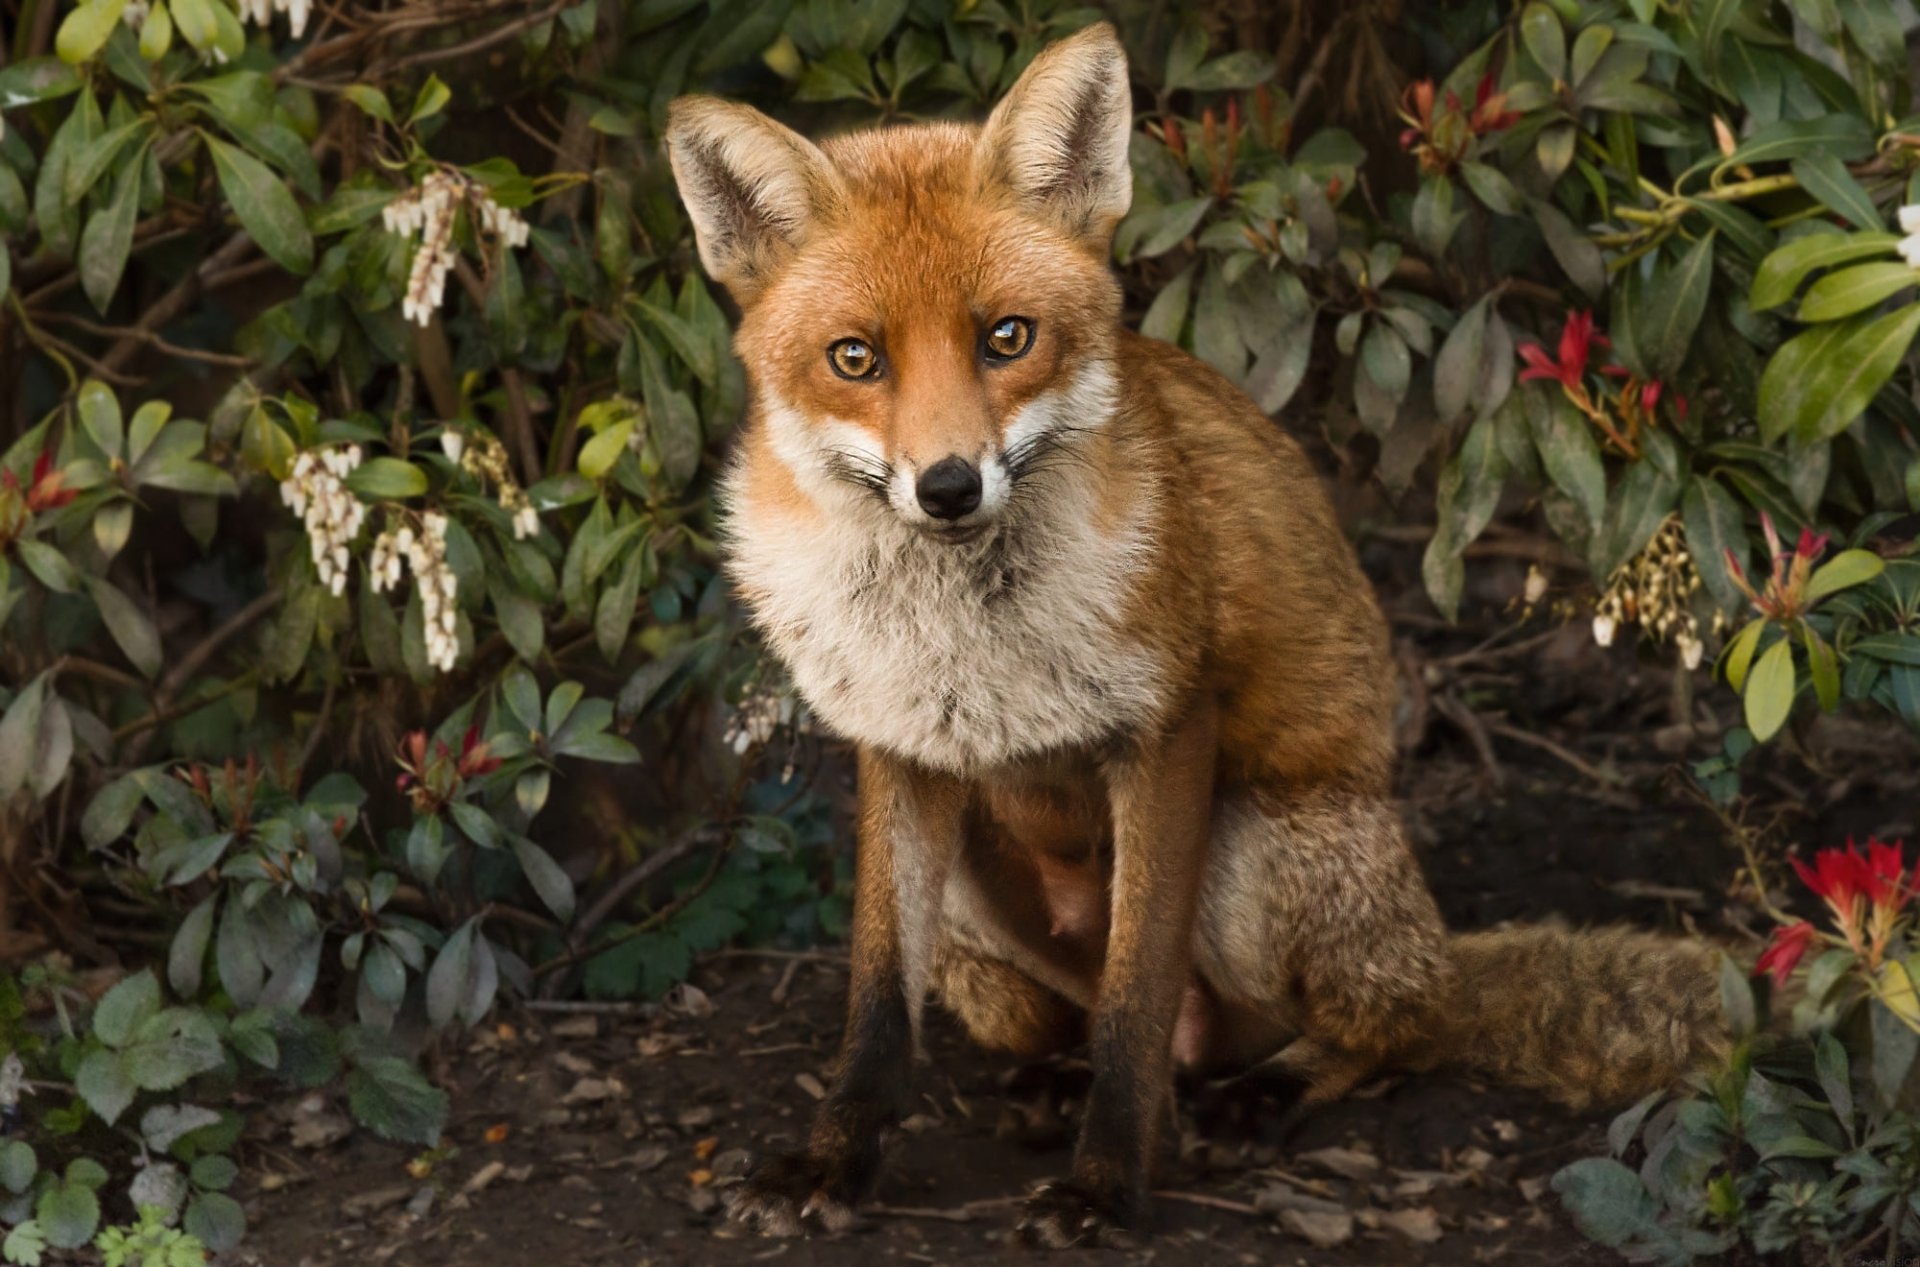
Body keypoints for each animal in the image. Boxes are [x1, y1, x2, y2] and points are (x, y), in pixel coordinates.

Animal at [664, 21, 1727, 1248]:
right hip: (984, 924)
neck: (966, 636)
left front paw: (1106, 1184)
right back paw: (1059, 1083)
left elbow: (1138, 994)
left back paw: (1262, 1092)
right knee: (1095, 1023)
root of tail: (1434, 939)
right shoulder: (901, 752)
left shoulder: (1169, 729)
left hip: (1255, 844)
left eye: (1006, 338)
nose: (948, 486)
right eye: (855, 358)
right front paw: (833, 1160)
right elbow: (879, 1006)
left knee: (1396, 1026)